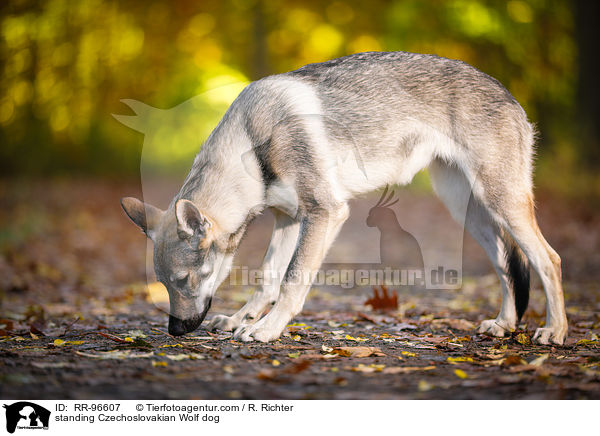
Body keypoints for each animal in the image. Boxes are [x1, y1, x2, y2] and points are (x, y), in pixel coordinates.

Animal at [120, 51, 568, 344]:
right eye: (164, 283)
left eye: (183, 280)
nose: (175, 330)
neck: (253, 145)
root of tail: (509, 95)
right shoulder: (287, 219)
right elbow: (267, 278)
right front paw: (240, 319)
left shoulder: (325, 213)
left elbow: (291, 281)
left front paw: (266, 329)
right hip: (470, 212)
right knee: (508, 266)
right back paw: (504, 324)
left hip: (501, 205)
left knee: (549, 259)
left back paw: (555, 331)